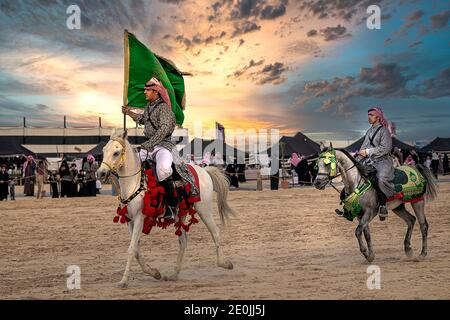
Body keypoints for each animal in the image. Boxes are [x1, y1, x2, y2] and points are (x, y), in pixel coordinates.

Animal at [96, 129, 234, 288]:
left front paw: (123, 281)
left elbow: (131, 249)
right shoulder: (130, 220)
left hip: (204, 209)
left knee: (215, 232)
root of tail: (203, 170)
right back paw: (174, 274)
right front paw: (154, 273)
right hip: (180, 214)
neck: (134, 182)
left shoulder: (139, 218)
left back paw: (225, 263)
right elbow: (136, 250)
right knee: (183, 241)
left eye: (116, 153)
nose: (100, 173)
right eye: (104, 150)